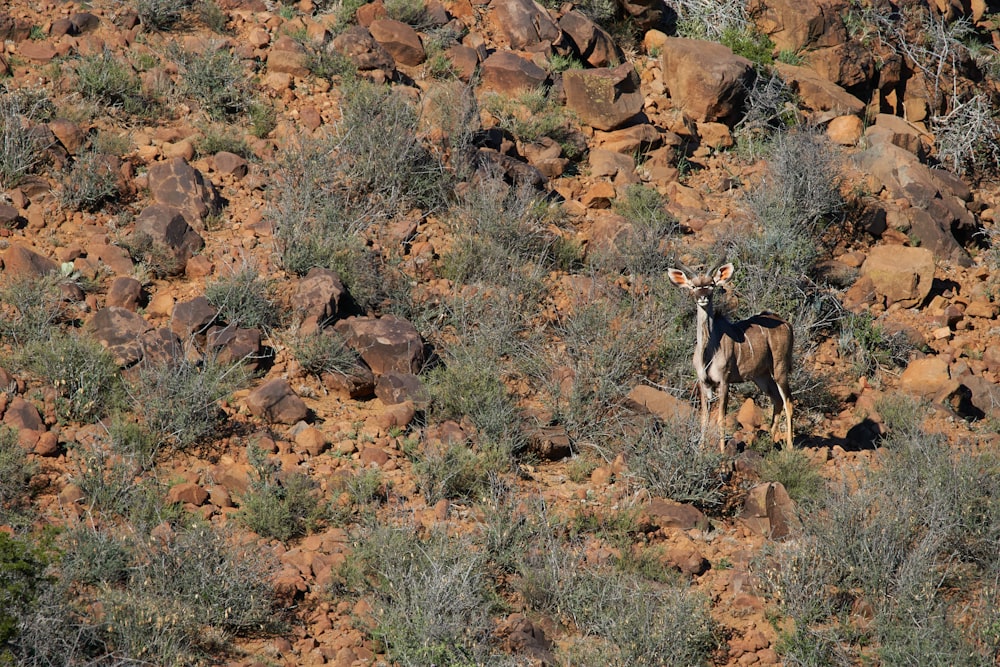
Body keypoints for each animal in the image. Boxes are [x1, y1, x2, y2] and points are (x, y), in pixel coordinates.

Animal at [668, 264, 792, 452]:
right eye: (693, 286)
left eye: (711, 285)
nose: (703, 297)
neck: (708, 352)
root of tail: (787, 324)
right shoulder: (704, 383)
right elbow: (704, 417)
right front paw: (701, 451)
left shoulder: (724, 381)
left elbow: (721, 416)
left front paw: (722, 453)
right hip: (761, 376)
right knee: (776, 399)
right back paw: (770, 442)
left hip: (780, 368)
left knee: (788, 402)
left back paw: (790, 447)